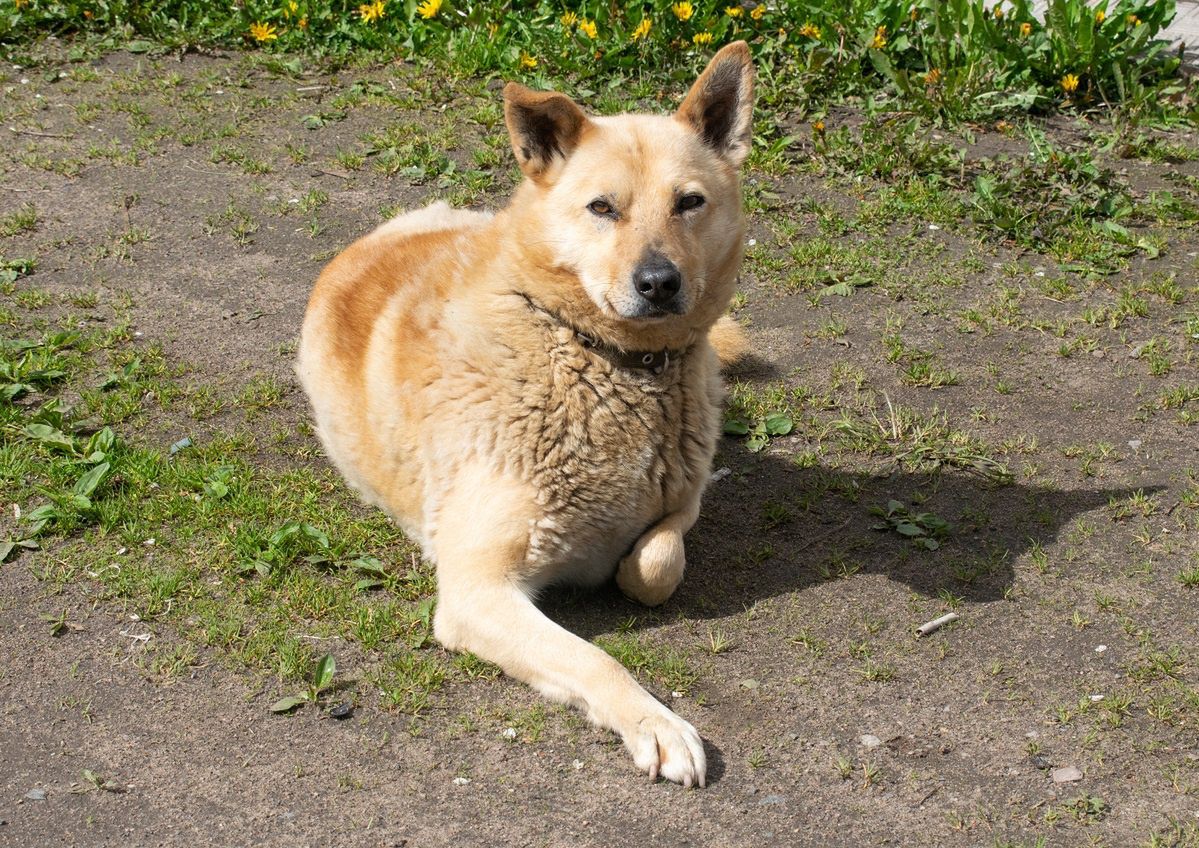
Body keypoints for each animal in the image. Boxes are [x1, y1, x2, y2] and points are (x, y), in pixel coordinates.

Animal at [296, 44, 752, 791]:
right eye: (602, 207)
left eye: (689, 203)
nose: (659, 283)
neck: (598, 357)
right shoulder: (477, 591)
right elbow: (597, 658)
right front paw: (655, 724)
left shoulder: (681, 501)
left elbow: (656, 562)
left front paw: (625, 568)